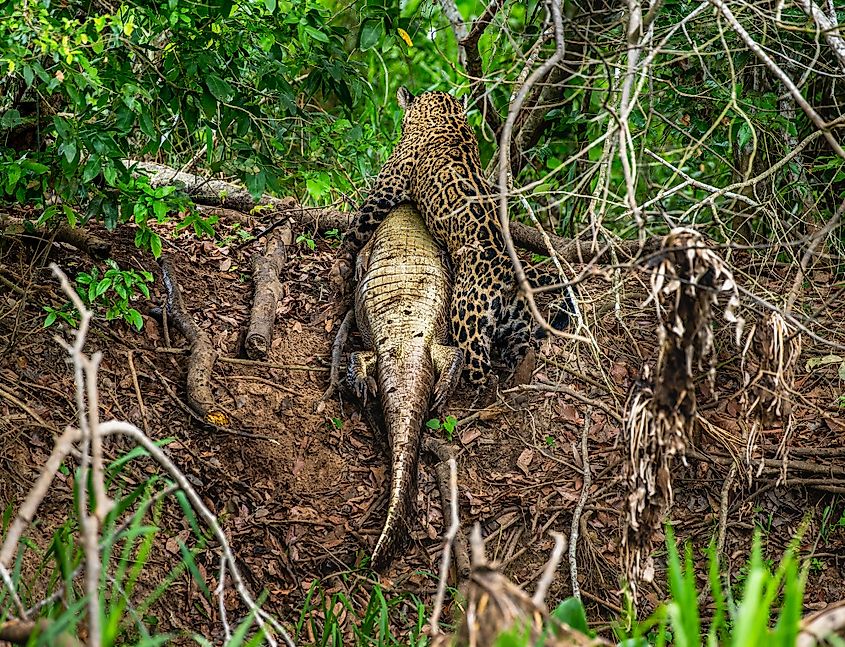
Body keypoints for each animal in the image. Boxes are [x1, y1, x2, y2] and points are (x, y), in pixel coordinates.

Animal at [332, 87, 571, 385]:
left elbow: (358, 225)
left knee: (479, 368)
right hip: (516, 324)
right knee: (519, 351)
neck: (445, 114)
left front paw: (341, 258)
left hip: (467, 319)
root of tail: (513, 269)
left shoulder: (388, 186)